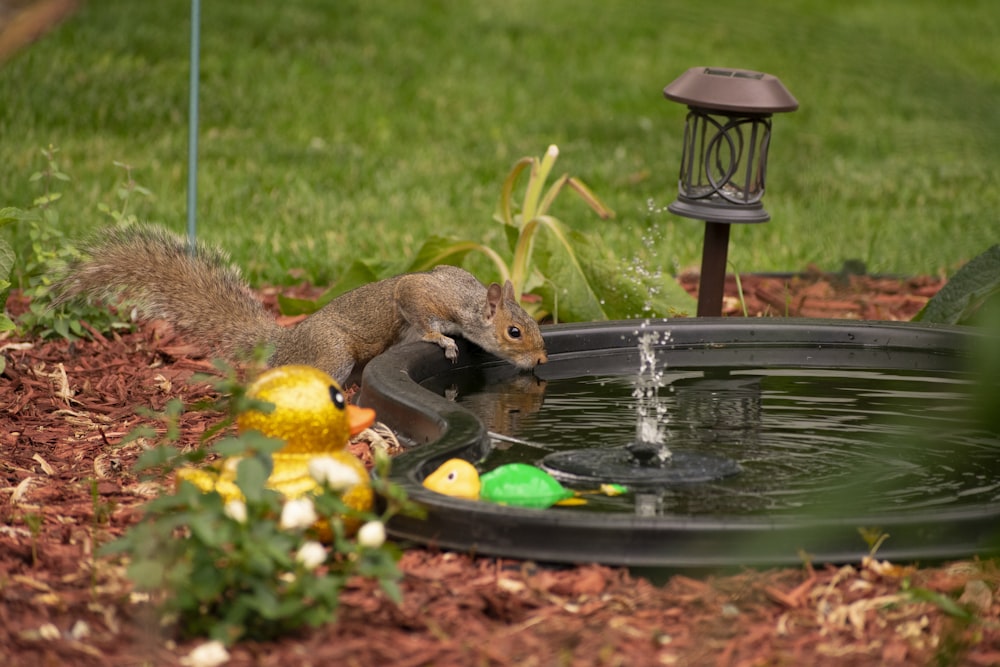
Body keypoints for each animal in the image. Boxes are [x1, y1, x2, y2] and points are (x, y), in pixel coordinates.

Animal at [53, 224, 548, 384]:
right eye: (514, 332)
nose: (542, 360)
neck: (468, 301)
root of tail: (285, 342)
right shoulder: (424, 294)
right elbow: (414, 307)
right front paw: (442, 341)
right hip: (332, 352)